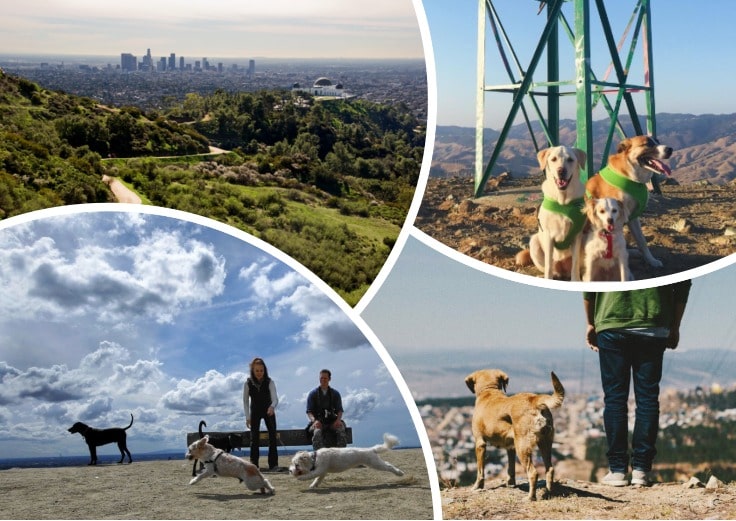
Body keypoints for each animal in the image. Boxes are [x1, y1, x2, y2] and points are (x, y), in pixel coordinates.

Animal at [466, 368, 564, 502]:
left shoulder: (480, 443)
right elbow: (511, 469)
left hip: (522, 447)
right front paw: (511, 483)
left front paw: (477, 486)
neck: (489, 390)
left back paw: (530, 497)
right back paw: (549, 492)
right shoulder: (510, 447)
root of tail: (534, 399)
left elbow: (480, 471)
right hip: (545, 443)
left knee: (533, 473)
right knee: (550, 469)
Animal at [524, 144, 588, 278]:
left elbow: (575, 266)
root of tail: (563, 270)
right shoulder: (549, 236)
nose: (561, 171)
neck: (563, 202)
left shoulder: (577, 235)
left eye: (570, 160)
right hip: (534, 242)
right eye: (553, 159)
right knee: (550, 268)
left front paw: (576, 280)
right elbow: (548, 265)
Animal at [588, 134, 672, 268]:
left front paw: (651, 260)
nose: (670, 149)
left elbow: (642, 241)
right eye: (647, 144)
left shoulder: (632, 217)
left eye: (657, 141)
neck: (629, 177)